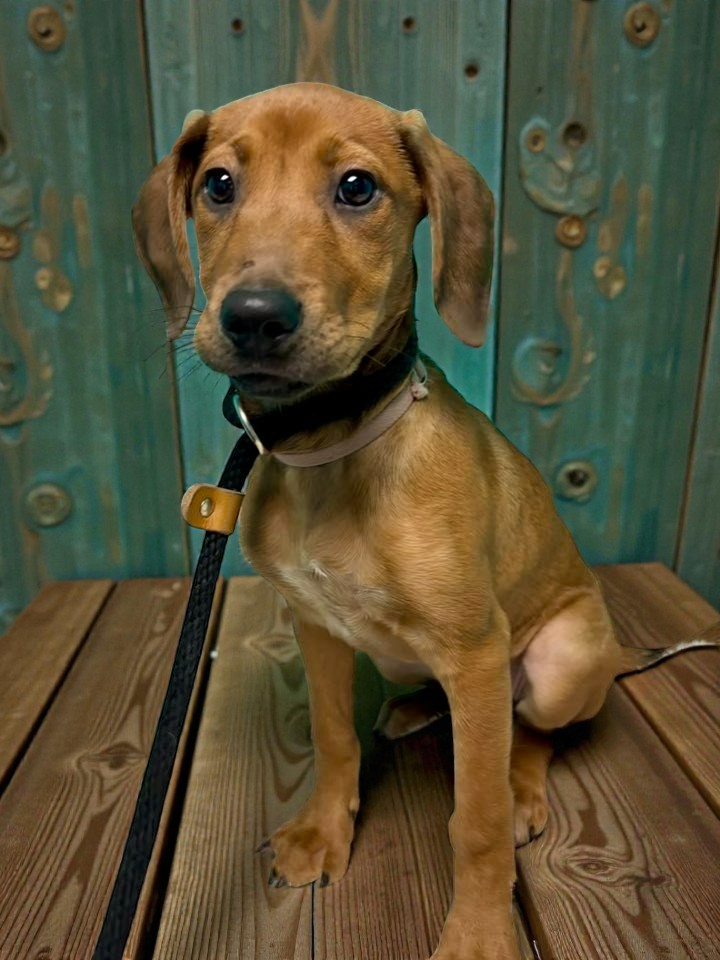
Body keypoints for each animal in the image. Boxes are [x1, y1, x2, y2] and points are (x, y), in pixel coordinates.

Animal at [132, 82, 715, 960]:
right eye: (218, 185)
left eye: (356, 188)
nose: (254, 317)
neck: (331, 447)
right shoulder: (318, 627)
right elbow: (333, 738)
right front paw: (322, 833)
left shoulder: (474, 649)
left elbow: (475, 820)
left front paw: (478, 932)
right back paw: (411, 708)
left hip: (559, 661)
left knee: (531, 733)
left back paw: (521, 785)